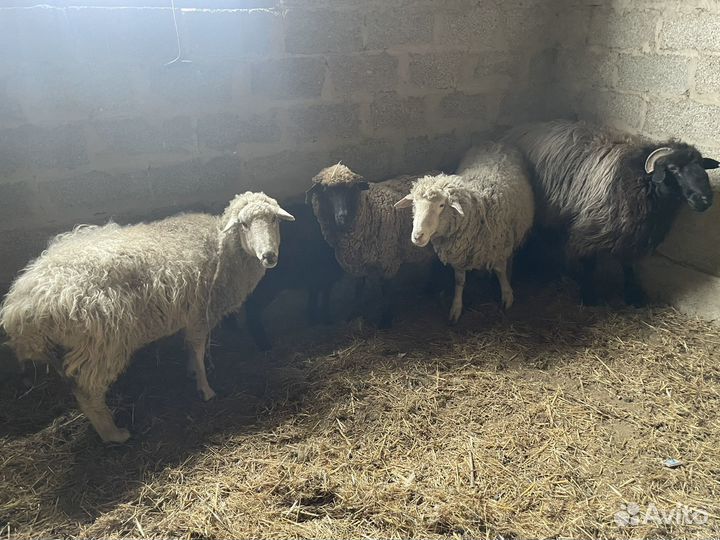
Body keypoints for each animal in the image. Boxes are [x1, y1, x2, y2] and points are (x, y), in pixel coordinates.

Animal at [0, 192, 295, 443]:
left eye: (274, 220)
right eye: (244, 225)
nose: (269, 256)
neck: (222, 246)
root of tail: (22, 303)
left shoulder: (193, 313)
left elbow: (193, 349)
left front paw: (193, 372)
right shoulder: (199, 313)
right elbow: (198, 349)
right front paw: (205, 388)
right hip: (101, 343)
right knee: (87, 392)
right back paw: (114, 434)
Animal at [241, 202, 344, 351]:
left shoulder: (315, 278)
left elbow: (314, 296)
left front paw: (313, 319)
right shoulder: (325, 275)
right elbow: (324, 297)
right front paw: (326, 319)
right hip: (266, 286)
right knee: (252, 309)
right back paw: (264, 344)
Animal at [305, 164, 437, 328]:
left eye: (352, 188)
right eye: (326, 190)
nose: (343, 217)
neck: (369, 211)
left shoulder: (389, 259)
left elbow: (386, 291)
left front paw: (385, 321)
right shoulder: (359, 263)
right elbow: (358, 289)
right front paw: (354, 313)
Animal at [394, 142, 535, 322]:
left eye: (441, 205)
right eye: (414, 204)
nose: (418, 236)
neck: (478, 207)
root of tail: (494, 143)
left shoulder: (498, 244)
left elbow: (500, 270)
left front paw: (507, 295)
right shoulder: (459, 253)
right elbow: (459, 281)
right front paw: (456, 307)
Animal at [504, 119, 719, 306]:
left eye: (702, 167)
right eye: (673, 169)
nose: (705, 199)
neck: (639, 180)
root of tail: (519, 128)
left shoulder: (634, 233)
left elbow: (628, 265)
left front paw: (634, 297)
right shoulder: (591, 228)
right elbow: (589, 263)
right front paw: (589, 296)